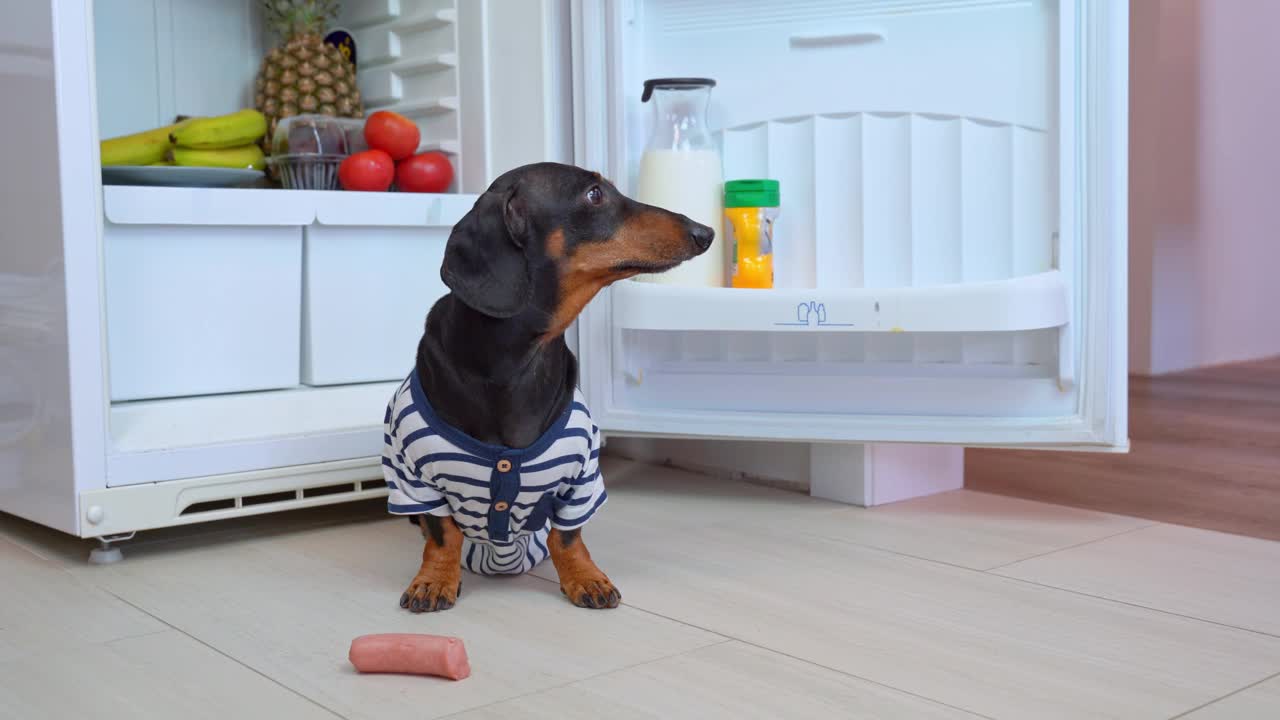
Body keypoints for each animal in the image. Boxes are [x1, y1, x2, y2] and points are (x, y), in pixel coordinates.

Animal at [378, 159, 716, 607]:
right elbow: (442, 533)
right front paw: (433, 580)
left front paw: (585, 578)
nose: (705, 232)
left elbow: (567, 537)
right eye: (594, 194)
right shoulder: (412, 477)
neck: (513, 360)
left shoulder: (581, 474)